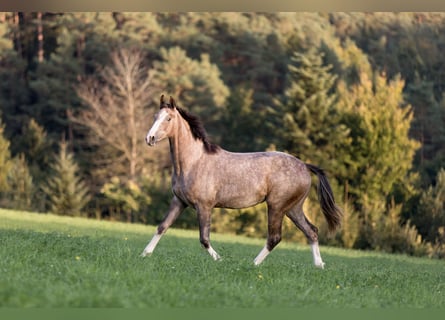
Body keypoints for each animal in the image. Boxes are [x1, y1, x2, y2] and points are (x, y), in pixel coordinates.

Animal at [140, 95, 342, 268]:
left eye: (168, 118)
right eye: (155, 116)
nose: (149, 138)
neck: (193, 162)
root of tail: (304, 166)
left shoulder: (204, 206)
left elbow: (204, 239)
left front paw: (220, 260)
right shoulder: (179, 201)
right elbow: (162, 227)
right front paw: (143, 254)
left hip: (276, 206)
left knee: (275, 237)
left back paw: (253, 264)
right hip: (293, 208)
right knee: (311, 231)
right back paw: (319, 265)